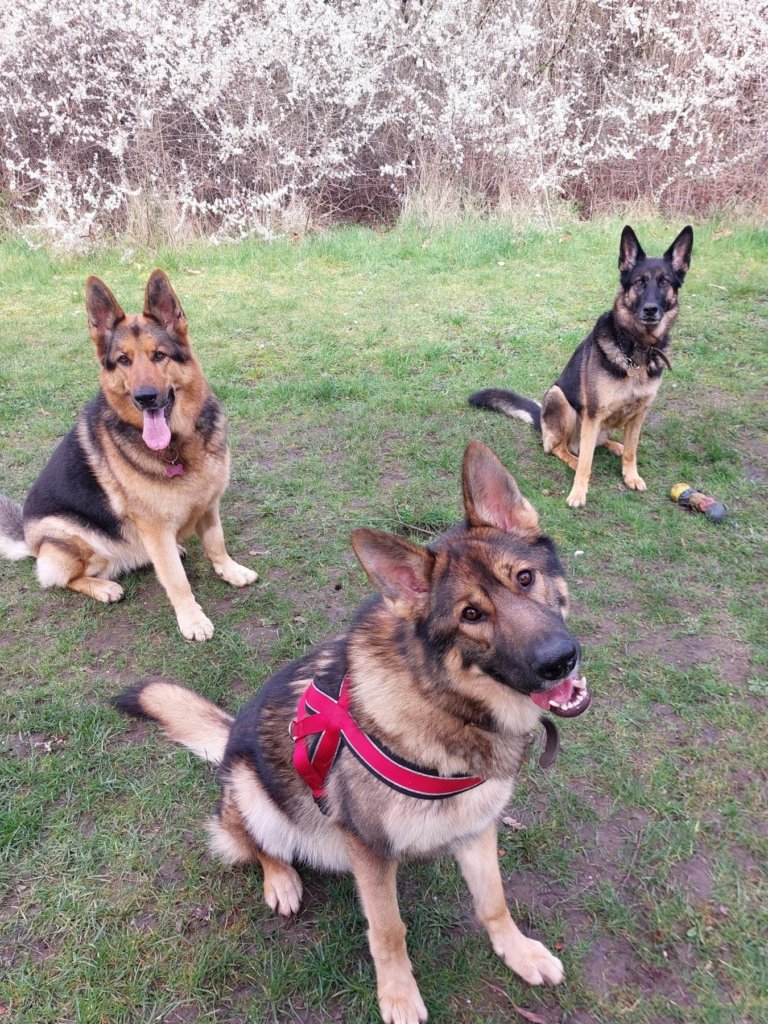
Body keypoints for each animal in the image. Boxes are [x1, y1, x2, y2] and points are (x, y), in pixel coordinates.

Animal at [0, 270, 257, 640]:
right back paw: (103, 587)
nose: (145, 397)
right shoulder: (154, 528)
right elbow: (176, 579)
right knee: (59, 578)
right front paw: (191, 619)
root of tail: (29, 539)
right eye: (123, 360)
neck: (177, 445)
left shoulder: (208, 504)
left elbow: (216, 543)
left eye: (159, 355)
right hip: (76, 539)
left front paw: (230, 570)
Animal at [115, 441, 591, 1024]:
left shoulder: (476, 828)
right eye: (471, 615)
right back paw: (281, 879)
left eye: (524, 578)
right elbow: (388, 930)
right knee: (253, 843)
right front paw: (399, 996)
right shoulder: (369, 851)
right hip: (252, 793)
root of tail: (229, 742)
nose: (559, 661)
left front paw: (519, 953)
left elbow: (493, 902)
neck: (446, 703)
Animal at [469, 225, 694, 507]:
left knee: (599, 443)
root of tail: (540, 419)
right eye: (639, 282)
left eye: (664, 282)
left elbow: (632, 451)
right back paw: (574, 460)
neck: (636, 348)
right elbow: (587, 461)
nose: (650, 310)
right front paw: (578, 493)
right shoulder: (593, 414)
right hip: (561, 401)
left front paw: (631, 475)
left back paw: (615, 446)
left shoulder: (639, 413)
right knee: (560, 448)